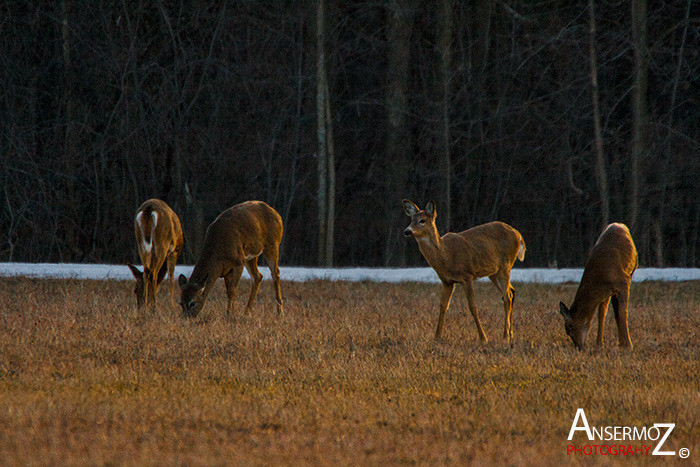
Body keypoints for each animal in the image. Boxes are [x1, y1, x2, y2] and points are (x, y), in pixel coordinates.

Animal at [402, 200, 528, 344]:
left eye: (422, 220)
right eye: (412, 219)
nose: (407, 231)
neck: (445, 255)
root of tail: (518, 235)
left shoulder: (467, 276)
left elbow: (472, 306)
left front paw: (483, 337)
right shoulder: (447, 281)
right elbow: (443, 306)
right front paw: (437, 336)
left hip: (505, 265)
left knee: (506, 296)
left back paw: (505, 335)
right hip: (493, 272)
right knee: (511, 292)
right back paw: (511, 334)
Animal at [560, 224, 636, 352]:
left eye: (568, 329)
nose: (578, 347)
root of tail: (620, 224)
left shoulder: (623, 282)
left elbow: (622, 312)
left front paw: (627, 345)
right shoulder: (606, 291)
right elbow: (602, 314)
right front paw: (599, 343)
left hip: (632, 271)